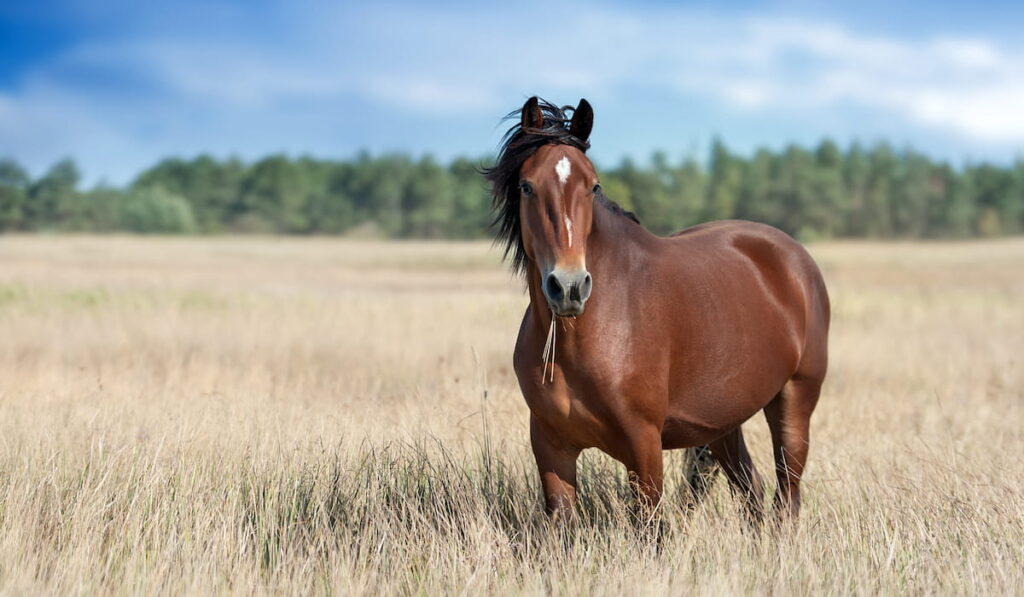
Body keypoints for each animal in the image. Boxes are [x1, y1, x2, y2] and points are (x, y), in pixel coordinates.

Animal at [483, 96, 827, 524]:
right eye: (527, 186)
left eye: (593, 185)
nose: (569, 287)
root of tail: (796, 258)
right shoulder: (551, 446)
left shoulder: (643, 444)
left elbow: (650, 527)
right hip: (724, 422)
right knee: (751, 489)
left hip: (795, 401)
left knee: (787, 496)